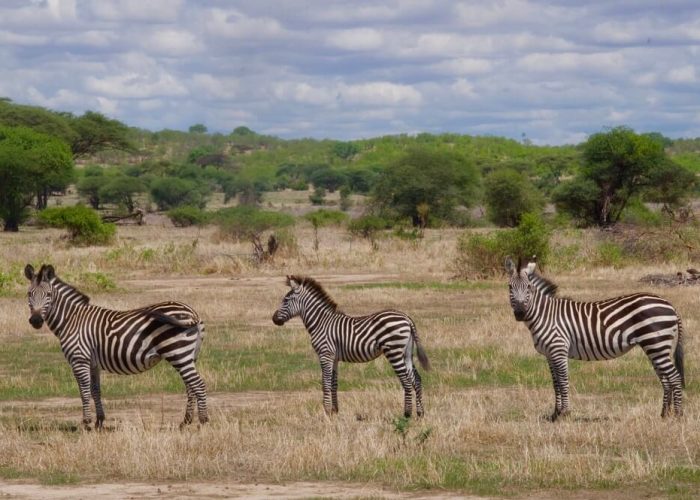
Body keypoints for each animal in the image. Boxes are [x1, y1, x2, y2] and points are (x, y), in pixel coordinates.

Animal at [25, 262, 211, 430]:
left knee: (198, 384)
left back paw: (203, 422)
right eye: (29, 294)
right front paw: (99, 421)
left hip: (177, 352)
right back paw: (185, 422)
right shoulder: (93, 362)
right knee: (190, 386)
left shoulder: (79, 359)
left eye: (49, 294)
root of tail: (192, 312)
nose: (35, 321)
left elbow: (84, 391)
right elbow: (95, 390)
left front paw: (86, 423)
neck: (71, 319)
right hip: (189, 354)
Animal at [270, 276, 430, 416]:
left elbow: (325, 383)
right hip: (406, 353)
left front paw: (326, 412)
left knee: (406, 382)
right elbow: (334, 383)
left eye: (285, 300)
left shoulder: (325, 354)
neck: (320, 322)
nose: (273, 319)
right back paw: (420, 413)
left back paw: (407, 414)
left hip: (394, 352)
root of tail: (407, 318)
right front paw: (335, 411)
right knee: (416, 379)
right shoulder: (334, 357)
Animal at [506, 256, 688, 420]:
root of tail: (670, 305)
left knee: (674, 377)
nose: (520, 313)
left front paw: (565, 413)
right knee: (665, 378)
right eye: (509, 287)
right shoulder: (549, 354)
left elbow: (563, 381)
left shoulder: (559, 349)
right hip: (655, 346)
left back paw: (678, 415)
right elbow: (555, 383)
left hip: (656, 343)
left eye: (529, 287)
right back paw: (664, 414)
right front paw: (555, 414)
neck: (545, 315)